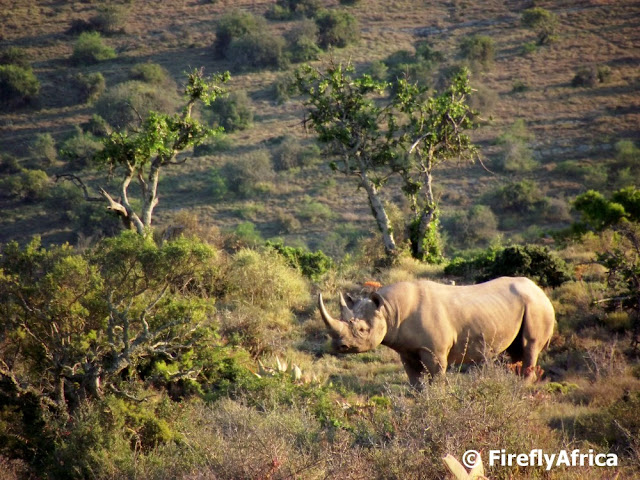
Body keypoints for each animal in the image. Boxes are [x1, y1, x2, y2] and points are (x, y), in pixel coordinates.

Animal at [318, 277, 555, 386]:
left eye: (362, 329)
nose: (340, 346)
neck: (388, 309)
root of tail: (539, 289)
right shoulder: (406, 349)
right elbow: (414, 378)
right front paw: (419, 398)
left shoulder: (434, 350)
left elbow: (437, 375)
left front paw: (437, 398)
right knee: (513, 351)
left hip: (536, 305)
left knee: (530, 345)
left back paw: (522, 388)